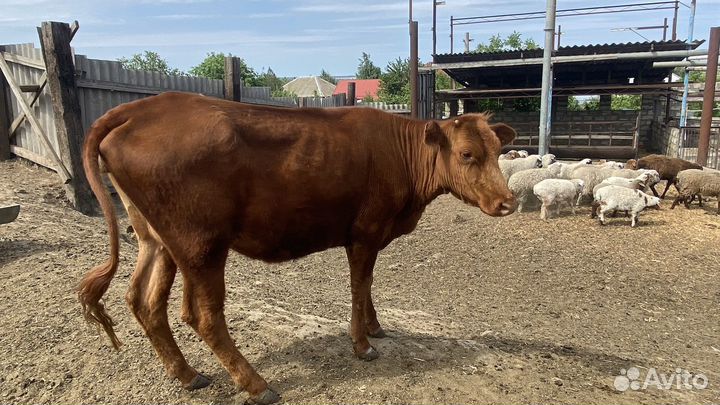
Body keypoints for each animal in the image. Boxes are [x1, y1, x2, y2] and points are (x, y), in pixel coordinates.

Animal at [79, 92, 517, 404]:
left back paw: (187, 375)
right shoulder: (365, 232)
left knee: (144, 300)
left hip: (157, 240)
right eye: (466, 154)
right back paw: (257, 385)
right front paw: (363, 345)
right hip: (200, 245)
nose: (508, 202)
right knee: (201, 315)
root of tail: (139, 108)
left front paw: (376, 327)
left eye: (499, 151)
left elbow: (368, 287)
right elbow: (359, 286)